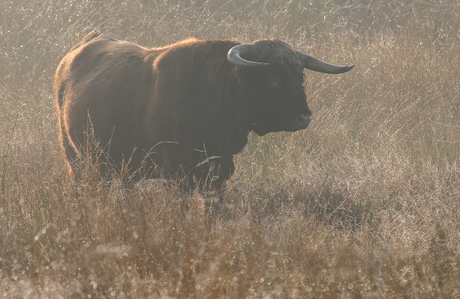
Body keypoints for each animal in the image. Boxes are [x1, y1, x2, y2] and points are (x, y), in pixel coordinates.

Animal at [54, 30, 356, 190]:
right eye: (272, 79)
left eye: (299, 75)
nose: (304, 116)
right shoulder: (177, 175)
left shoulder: (217, 173)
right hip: (75, 160)